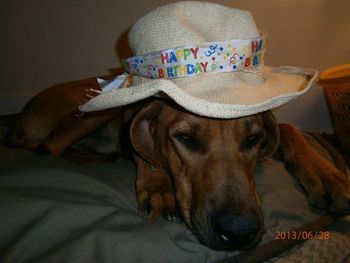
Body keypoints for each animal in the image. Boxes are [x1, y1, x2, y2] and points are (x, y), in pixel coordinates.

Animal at [1, 78, 348, 252]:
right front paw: (158, 187)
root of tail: (19, 115)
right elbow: (145, 152)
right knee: (51, 147)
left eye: (253, 138)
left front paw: (327, 175)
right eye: (186, 138)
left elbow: (290, 129)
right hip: (94, 109)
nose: (239, 232)